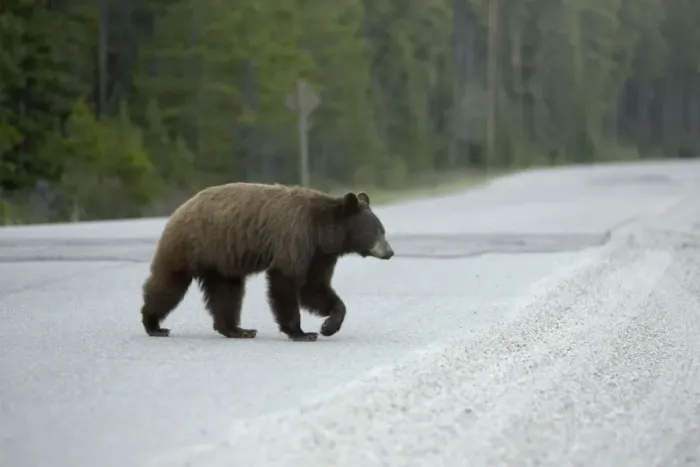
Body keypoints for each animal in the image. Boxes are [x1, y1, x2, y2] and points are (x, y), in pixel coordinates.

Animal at [139, 182, 394, 342]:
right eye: (375, 231)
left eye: (383, 230)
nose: (390, 252)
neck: (322, 232)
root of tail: (180, 208)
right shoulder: (295, 237)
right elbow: (286, 281)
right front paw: (302, 333)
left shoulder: (319, 255)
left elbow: (315, 287)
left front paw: (328, 325)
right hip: (191, 246)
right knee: (169, 283)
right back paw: (154, 325)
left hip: (222, 261)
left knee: (227, 292)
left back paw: (237, 329)